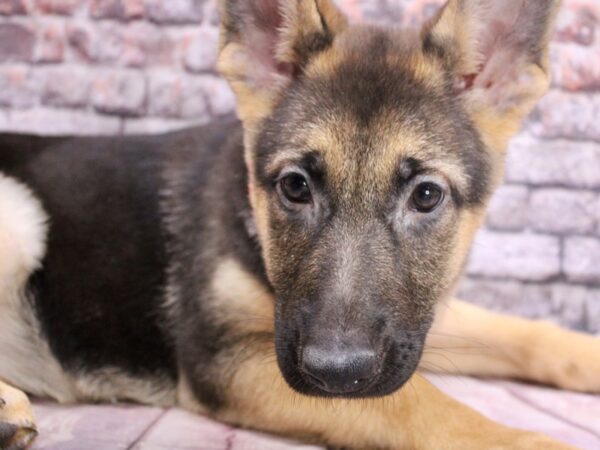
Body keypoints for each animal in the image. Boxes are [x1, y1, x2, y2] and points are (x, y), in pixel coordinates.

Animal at [1, 0, 600, 448]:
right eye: (295, 186)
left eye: (427, 195)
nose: (334, 373)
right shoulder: (227, 357)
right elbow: (420, 404)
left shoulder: (419, 320)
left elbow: (524, 333)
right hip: (22, 216)